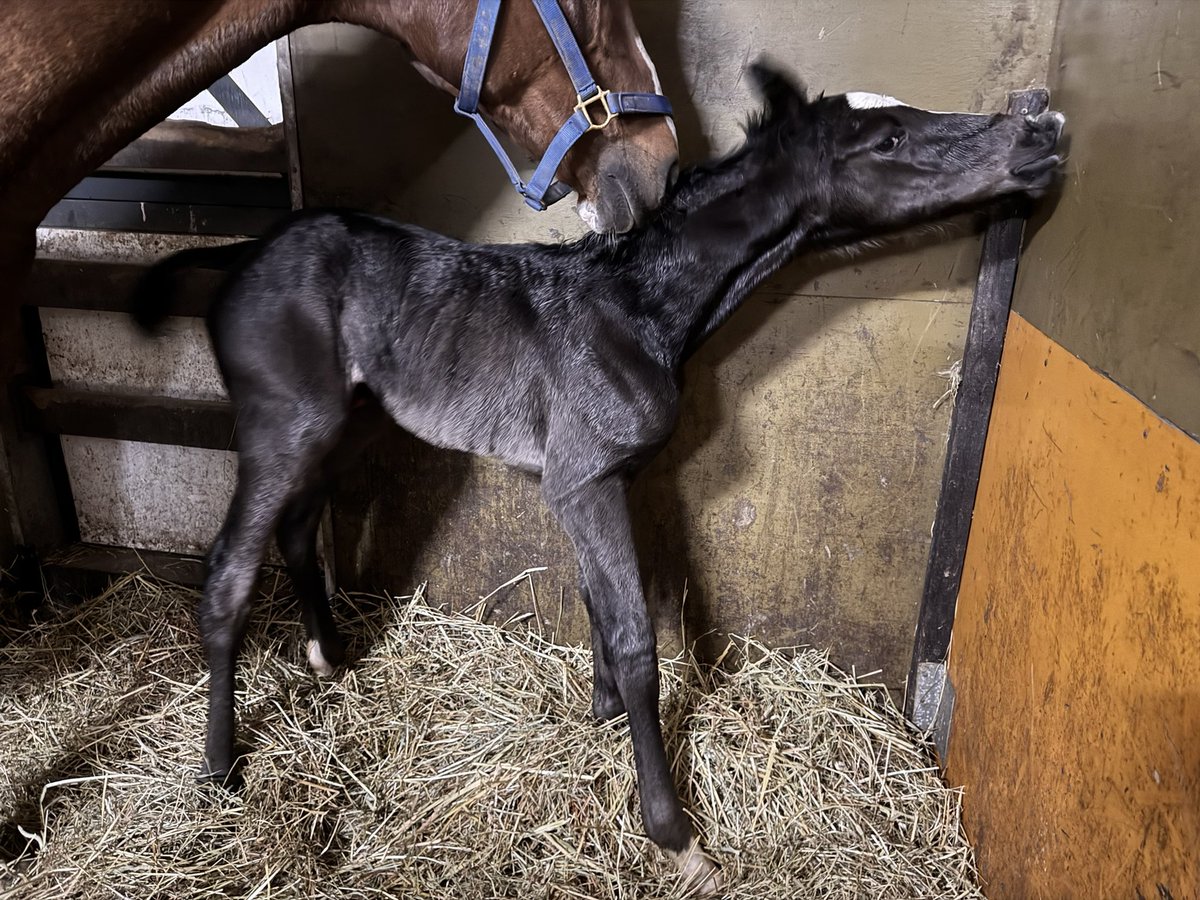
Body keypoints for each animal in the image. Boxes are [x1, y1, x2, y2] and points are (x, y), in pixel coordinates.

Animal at [133, 61, 1065, 893]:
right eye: (890, 137)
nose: (1042, 131)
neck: (638, 311)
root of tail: (244, 250)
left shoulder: (599, 483)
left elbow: (595, 603)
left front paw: (601, 713)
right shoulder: (584, 482)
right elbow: (637, 637)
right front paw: (674, 835)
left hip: (340, 421)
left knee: (296, 529)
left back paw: (328, 660)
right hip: (281, 428)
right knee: (228, 572)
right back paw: (220, 767)